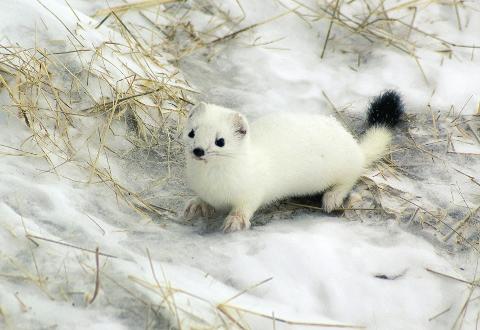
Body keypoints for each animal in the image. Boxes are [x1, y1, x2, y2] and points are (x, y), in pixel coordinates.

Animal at [184, 90, 404, 232]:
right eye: (191, 132)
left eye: (220, 141)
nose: (198, 150)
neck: (212, 183)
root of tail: (354, 145)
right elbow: (203, 199)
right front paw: (196, 205)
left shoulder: (253, 191)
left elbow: (246, 207)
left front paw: (235, 222)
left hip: (344, 167)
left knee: (350, 178)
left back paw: (331, 198)